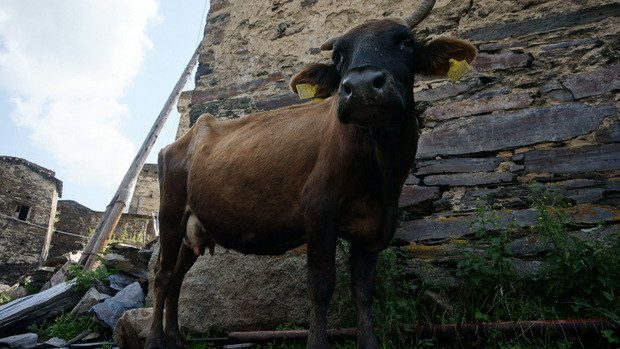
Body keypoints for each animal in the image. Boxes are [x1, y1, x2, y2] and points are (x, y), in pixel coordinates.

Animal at [148, 0, 478, 346]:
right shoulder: (320, 211)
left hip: (193, 228)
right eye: (338, 56)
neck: (380, 172)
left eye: (406, 41)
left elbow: (364, 291)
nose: (361, 86)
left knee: (178, 278)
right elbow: (321, 286)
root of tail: (189, 134)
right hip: (170, 214)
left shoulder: (374, 226)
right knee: (162, 276)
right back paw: (155, 338)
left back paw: (175, 337)